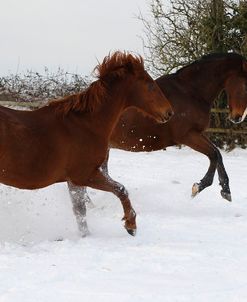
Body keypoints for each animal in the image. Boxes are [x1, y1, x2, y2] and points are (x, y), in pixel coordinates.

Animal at [0, 51, 173, 236]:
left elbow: (80, 211)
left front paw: (86, 236)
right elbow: (121, 190)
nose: (169, 112)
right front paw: (131, 225)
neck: (87, 124)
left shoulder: (74, 181)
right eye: (150, 85)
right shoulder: (85, 175)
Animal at [74, 53, 247, 226]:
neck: (190, 91)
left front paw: (225, 190)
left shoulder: (197, 134)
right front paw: (198, 187)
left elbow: (217, 154)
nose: (238, 117)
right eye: (245, 85)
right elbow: (213, 155)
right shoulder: (188, 136)